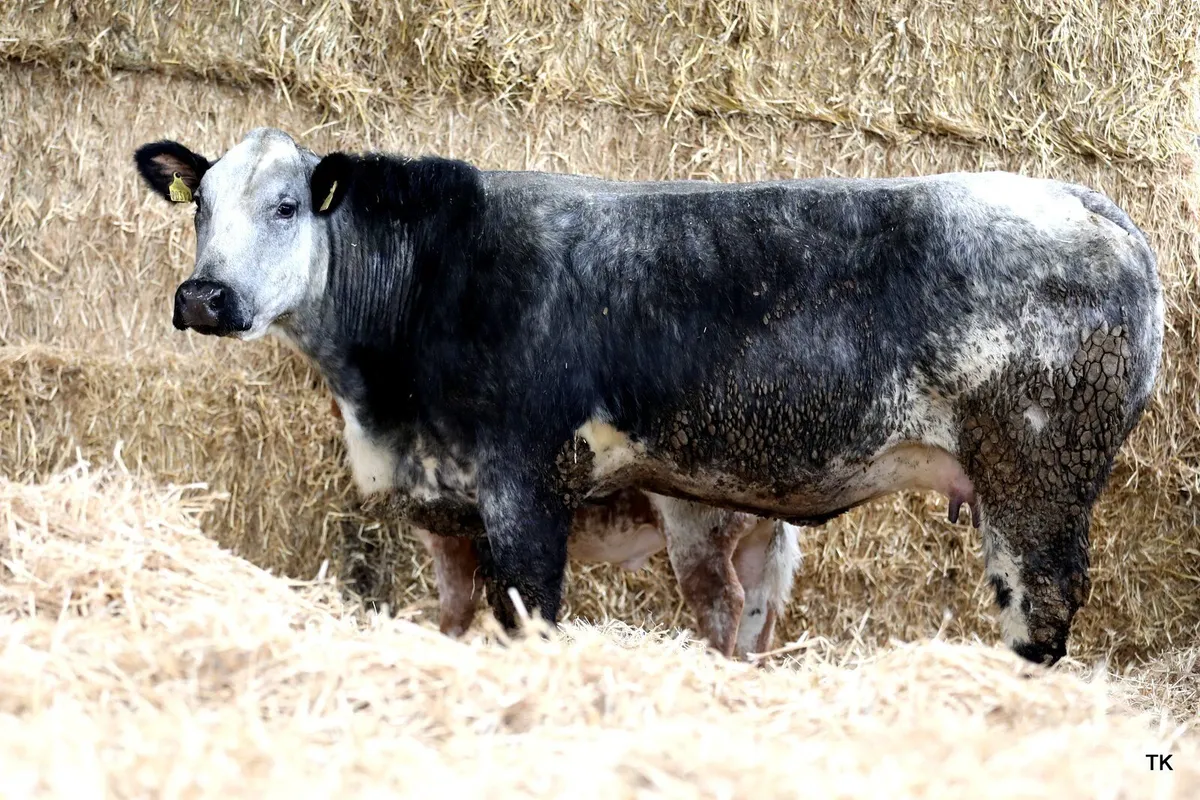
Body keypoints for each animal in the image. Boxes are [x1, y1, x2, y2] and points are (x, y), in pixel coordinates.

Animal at [134, 127, 1163, 666]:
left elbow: (530, 612)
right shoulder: (448, 507)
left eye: (286, 207)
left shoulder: (524, 484)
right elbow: (458, 618)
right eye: (199, 204)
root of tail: (1085, 201)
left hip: (1035, 478)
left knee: (1041, 612)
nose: (204, 296)